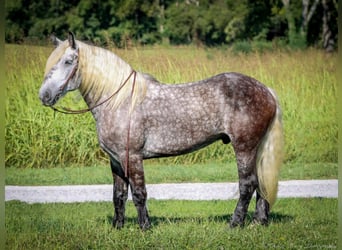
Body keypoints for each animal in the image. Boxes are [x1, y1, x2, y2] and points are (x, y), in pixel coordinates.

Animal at [38, 32, 284, 229]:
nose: (44, 95)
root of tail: (267, 91)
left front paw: (144, 227)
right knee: (260, 183)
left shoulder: (132, 157)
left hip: (244, 147)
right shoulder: (116, 160)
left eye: (68, 61)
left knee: (247, 184)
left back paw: (235, 223)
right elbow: (118, 195)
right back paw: (258, 222)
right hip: (256, 149)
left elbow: (139, 193)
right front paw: (118, 227)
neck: (120, 101)